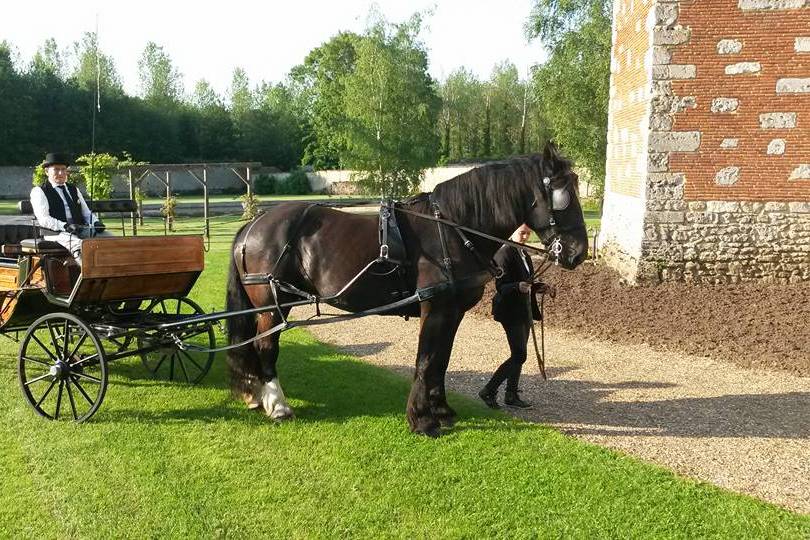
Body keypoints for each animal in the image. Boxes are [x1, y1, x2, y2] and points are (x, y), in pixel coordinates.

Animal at [224, 142, 584, 434]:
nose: (578, 252)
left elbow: (441, 360)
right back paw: (278, 405)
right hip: (273, 304)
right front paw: (421, 420)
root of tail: (253, 224)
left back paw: (257, 395)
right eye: (563, 194)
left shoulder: (452, 311)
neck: (450, 229)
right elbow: (426, 360)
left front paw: (441, 410)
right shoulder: (435, 308)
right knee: (265, 347)